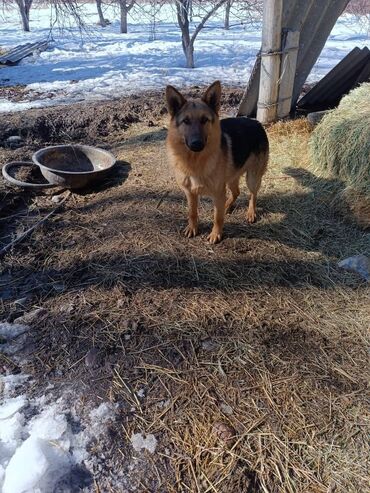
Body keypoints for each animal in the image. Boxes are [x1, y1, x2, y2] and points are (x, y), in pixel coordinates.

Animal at [165, 80, 268, 243]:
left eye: (204, 120)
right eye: (186, 121)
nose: (196, 144)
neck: (195, 162)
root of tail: (256, 122)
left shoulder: (218, 192)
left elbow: (217, 217)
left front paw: (216, 234)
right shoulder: (190, 193)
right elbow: (192, 213)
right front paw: (193, 228)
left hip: (252, 178)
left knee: (253, 195)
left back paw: (251, 212)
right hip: (232, 177)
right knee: (236, 192)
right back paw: (227, 206)